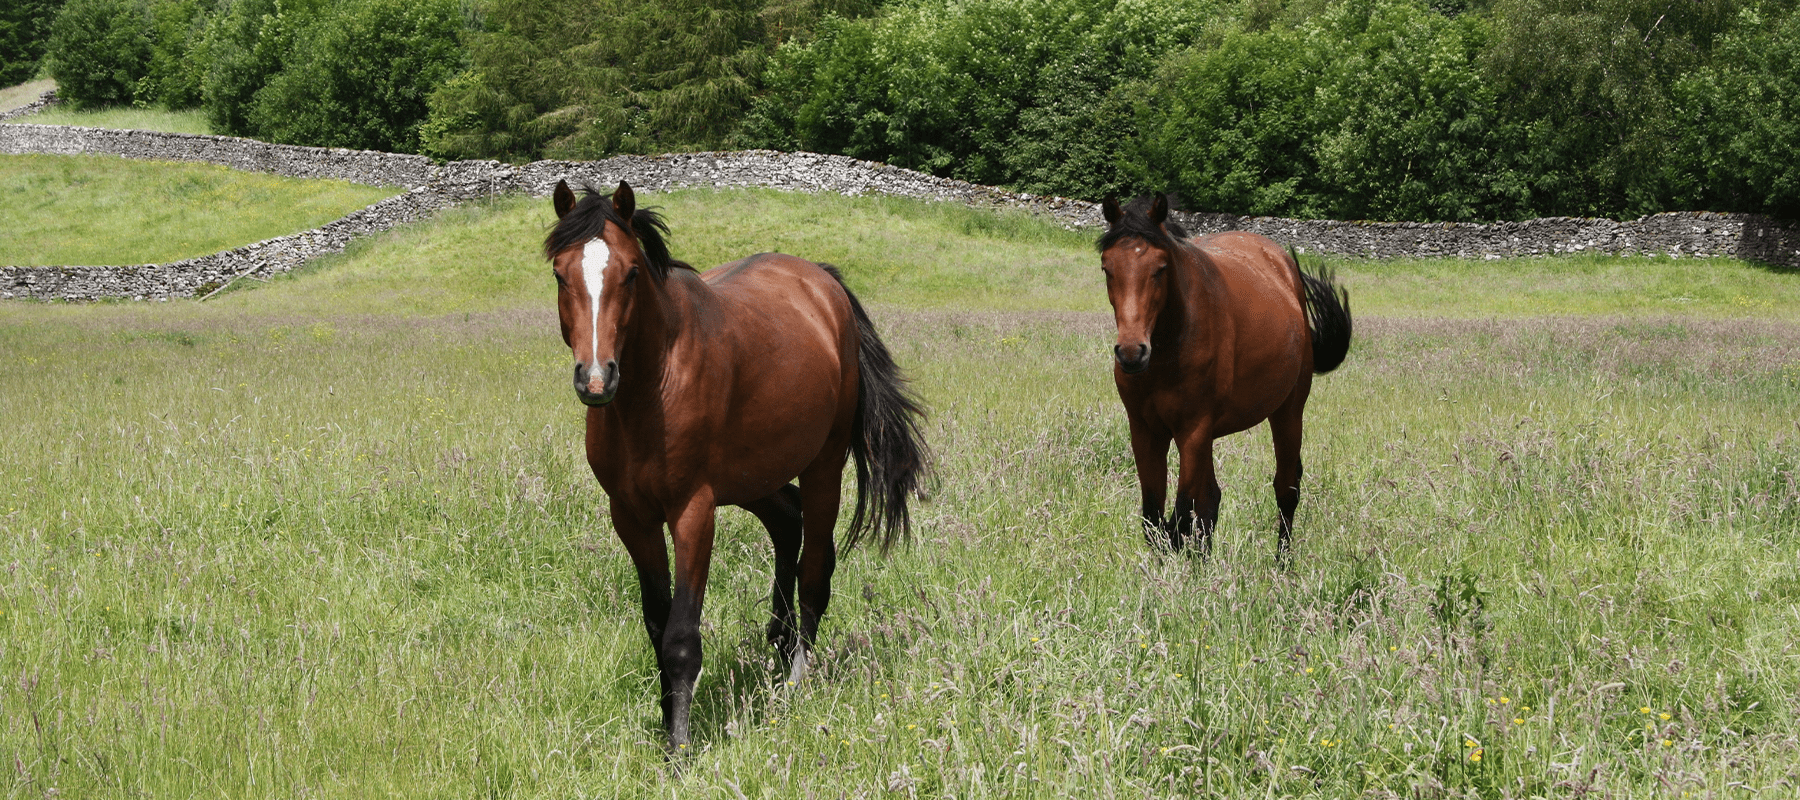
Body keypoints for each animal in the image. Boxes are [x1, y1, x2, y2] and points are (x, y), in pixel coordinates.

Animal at [544, 180, 929, 751]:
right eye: (559, 273)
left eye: (631, 272)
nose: (596, 378)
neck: (652, 390)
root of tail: (823, 285)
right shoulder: (631, 515)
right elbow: (657, 624)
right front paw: (667, 723)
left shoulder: (693, 511)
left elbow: (681, 637)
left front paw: (679, 749)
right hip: (754, 478)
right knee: (787, 521)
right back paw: (779, 641)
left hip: (822, 466)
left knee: (815, 569)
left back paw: (794, 681)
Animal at [1098, 193, 1351, 559]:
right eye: (1107, 268)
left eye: (1161, 268)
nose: (1132, 352)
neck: (1169, 349)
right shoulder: (1145, 430)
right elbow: (1155, 519)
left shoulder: (1193, 429)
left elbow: (1181, 518)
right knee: (1210, 502)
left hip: (1288, 411)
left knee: (1286, 489)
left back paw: (1282, 565)